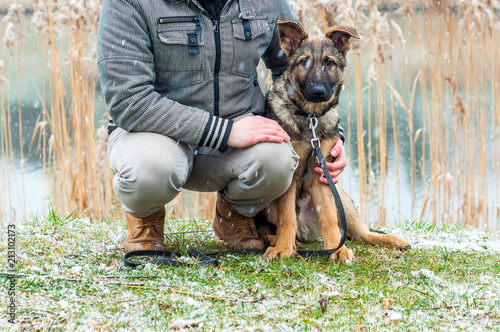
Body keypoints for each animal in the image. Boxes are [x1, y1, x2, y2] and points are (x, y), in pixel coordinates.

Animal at [260, 20, 412, 262]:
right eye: (304, 62)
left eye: (329, 63)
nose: (318, 92)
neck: (310, 117)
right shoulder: (291, 176)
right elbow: (287, 217)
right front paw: (283, 248)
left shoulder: (323, 172)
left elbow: (330, 217)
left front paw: (337, 249)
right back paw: (277, 239)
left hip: (340, 195)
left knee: (362, 233)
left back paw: (393, 240)